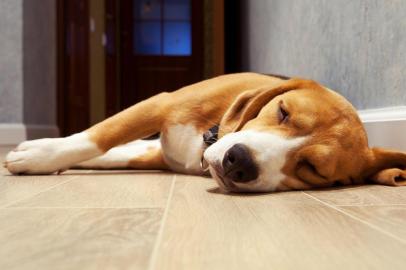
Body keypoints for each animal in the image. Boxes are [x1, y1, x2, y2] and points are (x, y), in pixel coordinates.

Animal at [3, 73, 406, 192]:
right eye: (283, 112)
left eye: (314, 170)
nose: (238, 162)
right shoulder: (160, 104)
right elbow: (99, 137)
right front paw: (41, 154)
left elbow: (113, 150)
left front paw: (37, 156)